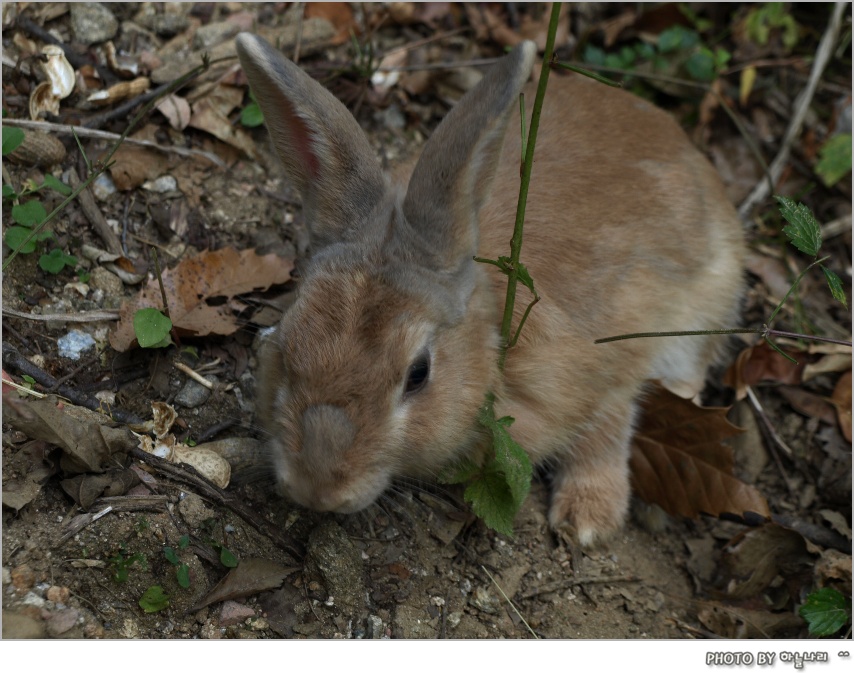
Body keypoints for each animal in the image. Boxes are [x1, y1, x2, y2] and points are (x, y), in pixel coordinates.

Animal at [237, 32, 744, 544]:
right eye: (287, 342)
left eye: (418, 374)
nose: (316, 488)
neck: (494, 339)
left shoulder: (616, 352)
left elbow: (607, 428)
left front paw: (587, 521)